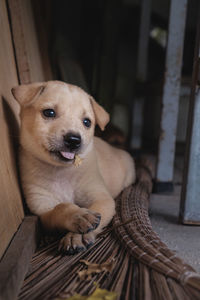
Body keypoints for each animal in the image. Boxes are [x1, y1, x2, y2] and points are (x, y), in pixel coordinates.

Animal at [11, 81, 135, 253]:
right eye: (49, 113)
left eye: (87, 122)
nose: (74, 140)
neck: (61, 171)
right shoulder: (42, 207)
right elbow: (61, 207)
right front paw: (77, 215)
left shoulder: (101, 197)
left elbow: (98, 214)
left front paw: (77, 236)